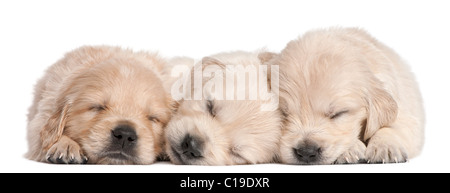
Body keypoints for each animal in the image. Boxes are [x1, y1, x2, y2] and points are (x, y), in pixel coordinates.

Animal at [274, 27, 426, 164]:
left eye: (338, 114)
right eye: (283, 114)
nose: (306, 152)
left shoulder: (406, 112)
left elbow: (392, 127)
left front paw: (386, 146)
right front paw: (350, 149)